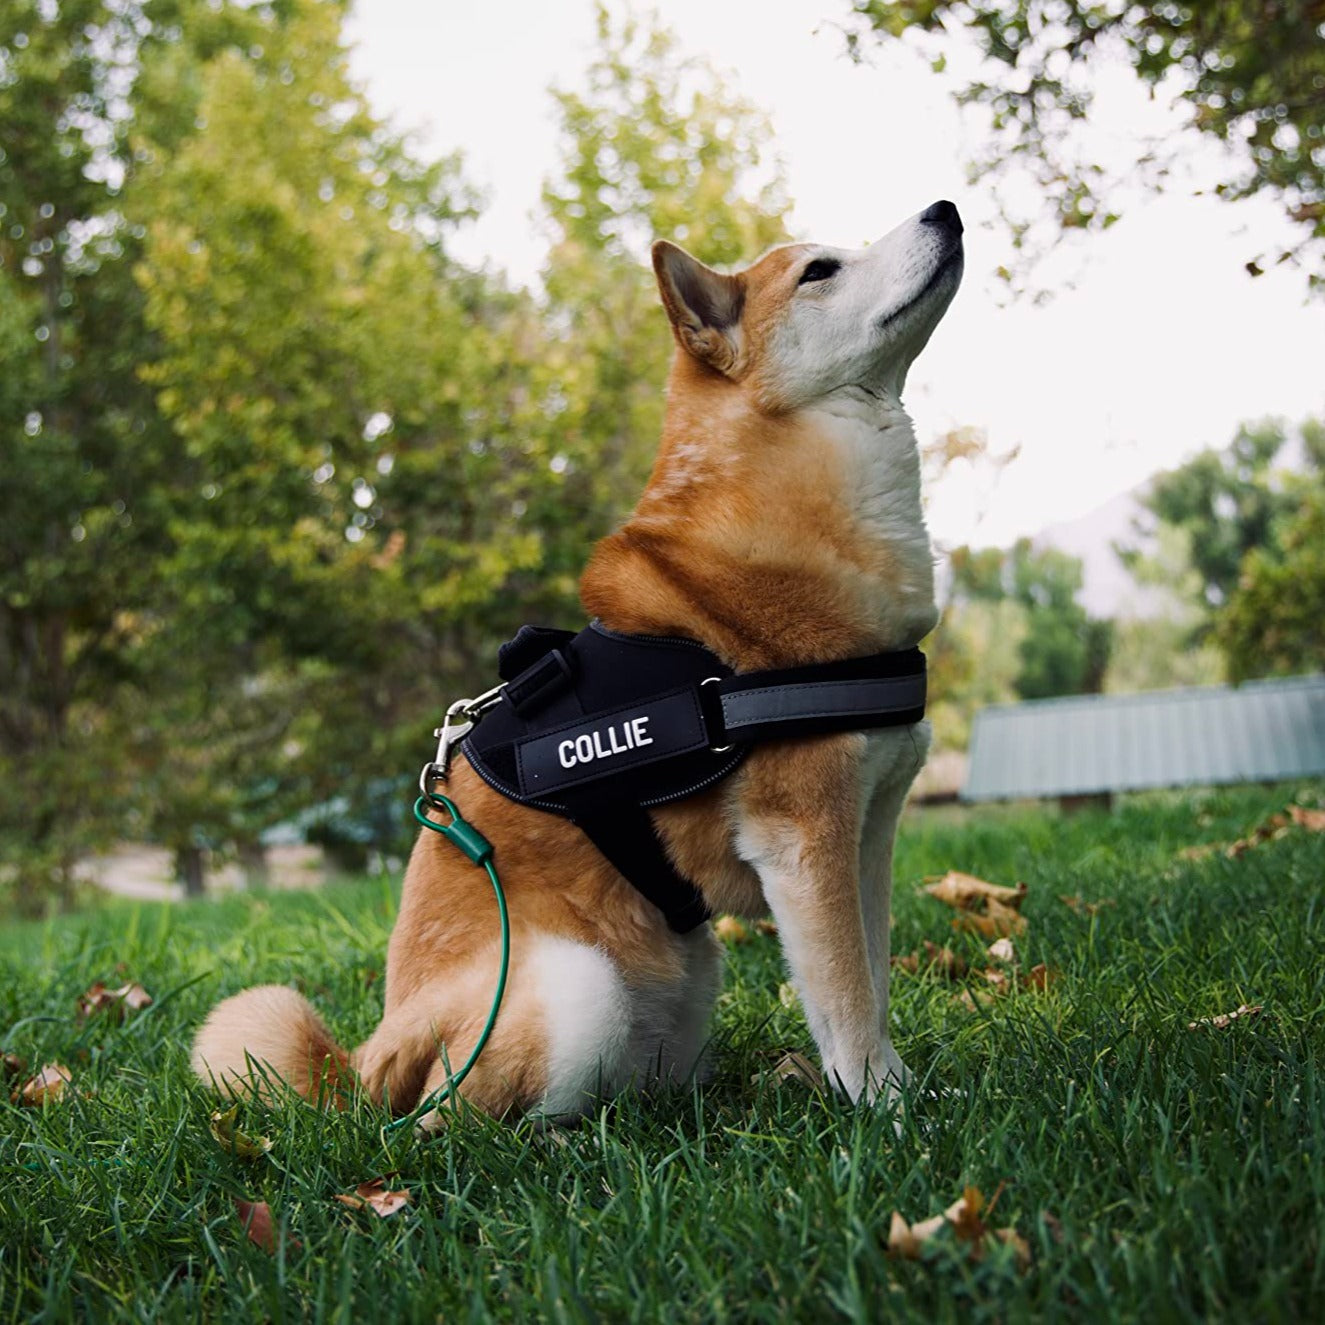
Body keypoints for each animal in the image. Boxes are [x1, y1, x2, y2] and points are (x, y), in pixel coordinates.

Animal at [192, 198, 964, 1118]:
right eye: (820, 270)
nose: (945, 210)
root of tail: (362, 1066)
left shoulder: (870, 829)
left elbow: (870, 981)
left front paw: (902, 1087)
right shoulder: (805, 836)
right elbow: (847, 998)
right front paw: (884, 1109)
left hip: (683, 970)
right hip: (575, 983)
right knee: (450, 1119)